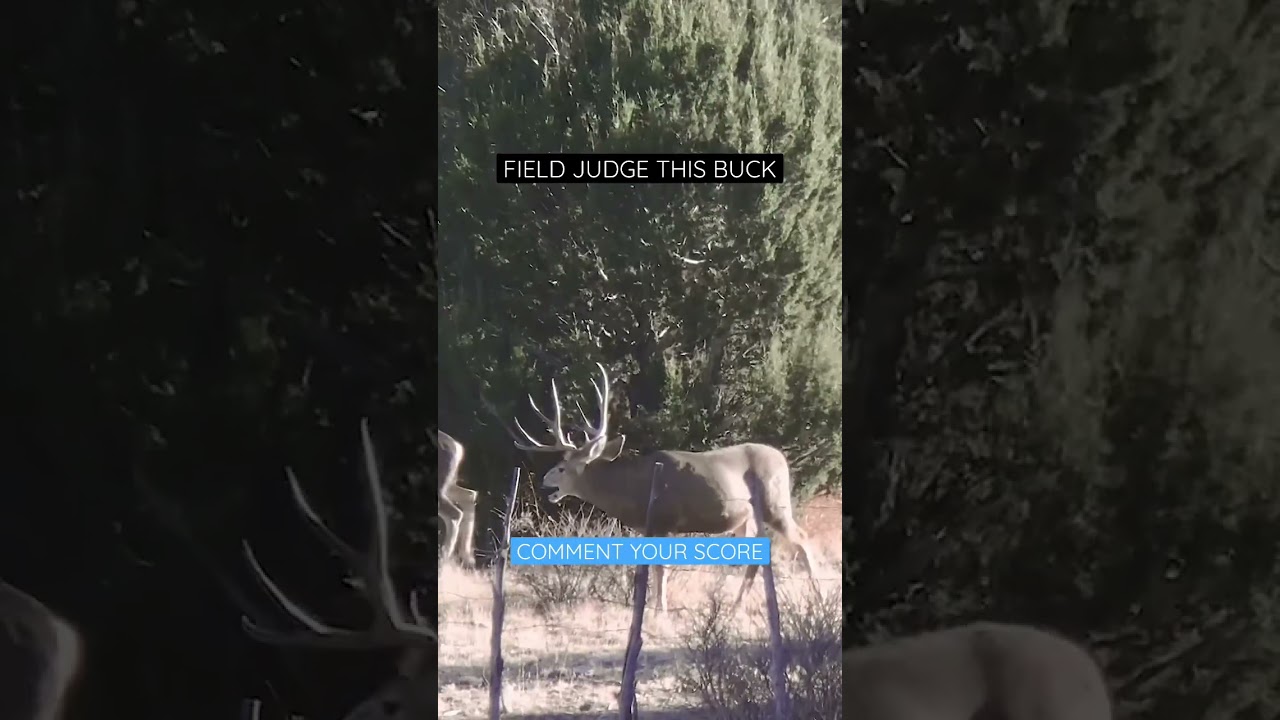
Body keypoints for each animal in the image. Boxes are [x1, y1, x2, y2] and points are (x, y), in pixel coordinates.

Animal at [435, 430, 478, 567]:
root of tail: (457, 448)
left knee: (455, 514)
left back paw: (442, 561)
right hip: (449, 483)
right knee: (470, 495)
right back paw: (467, 556)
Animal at [510, 362, 817, 612]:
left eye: (562, 467)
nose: (545, 480)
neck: (635, 490)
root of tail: (782, 460)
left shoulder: (665, 520)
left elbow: (662, 569)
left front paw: (660, 611)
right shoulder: (650, 528)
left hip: (775, 502)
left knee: (802, 538)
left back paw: (816, 593)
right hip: (746, 518)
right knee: (758, 554)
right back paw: (736, 606)